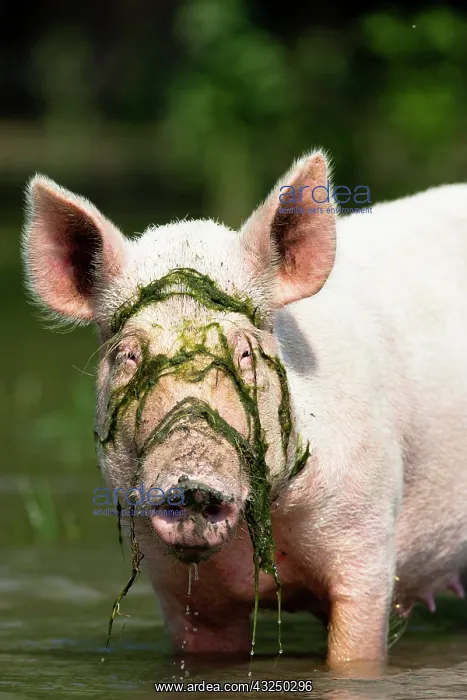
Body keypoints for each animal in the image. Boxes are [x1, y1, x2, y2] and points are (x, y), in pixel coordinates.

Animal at [22, 151, 467, 668]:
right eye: (129, 355)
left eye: (244, 352)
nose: (190, 485)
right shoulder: (180, 591)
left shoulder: (369, 539)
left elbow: (354, 650)